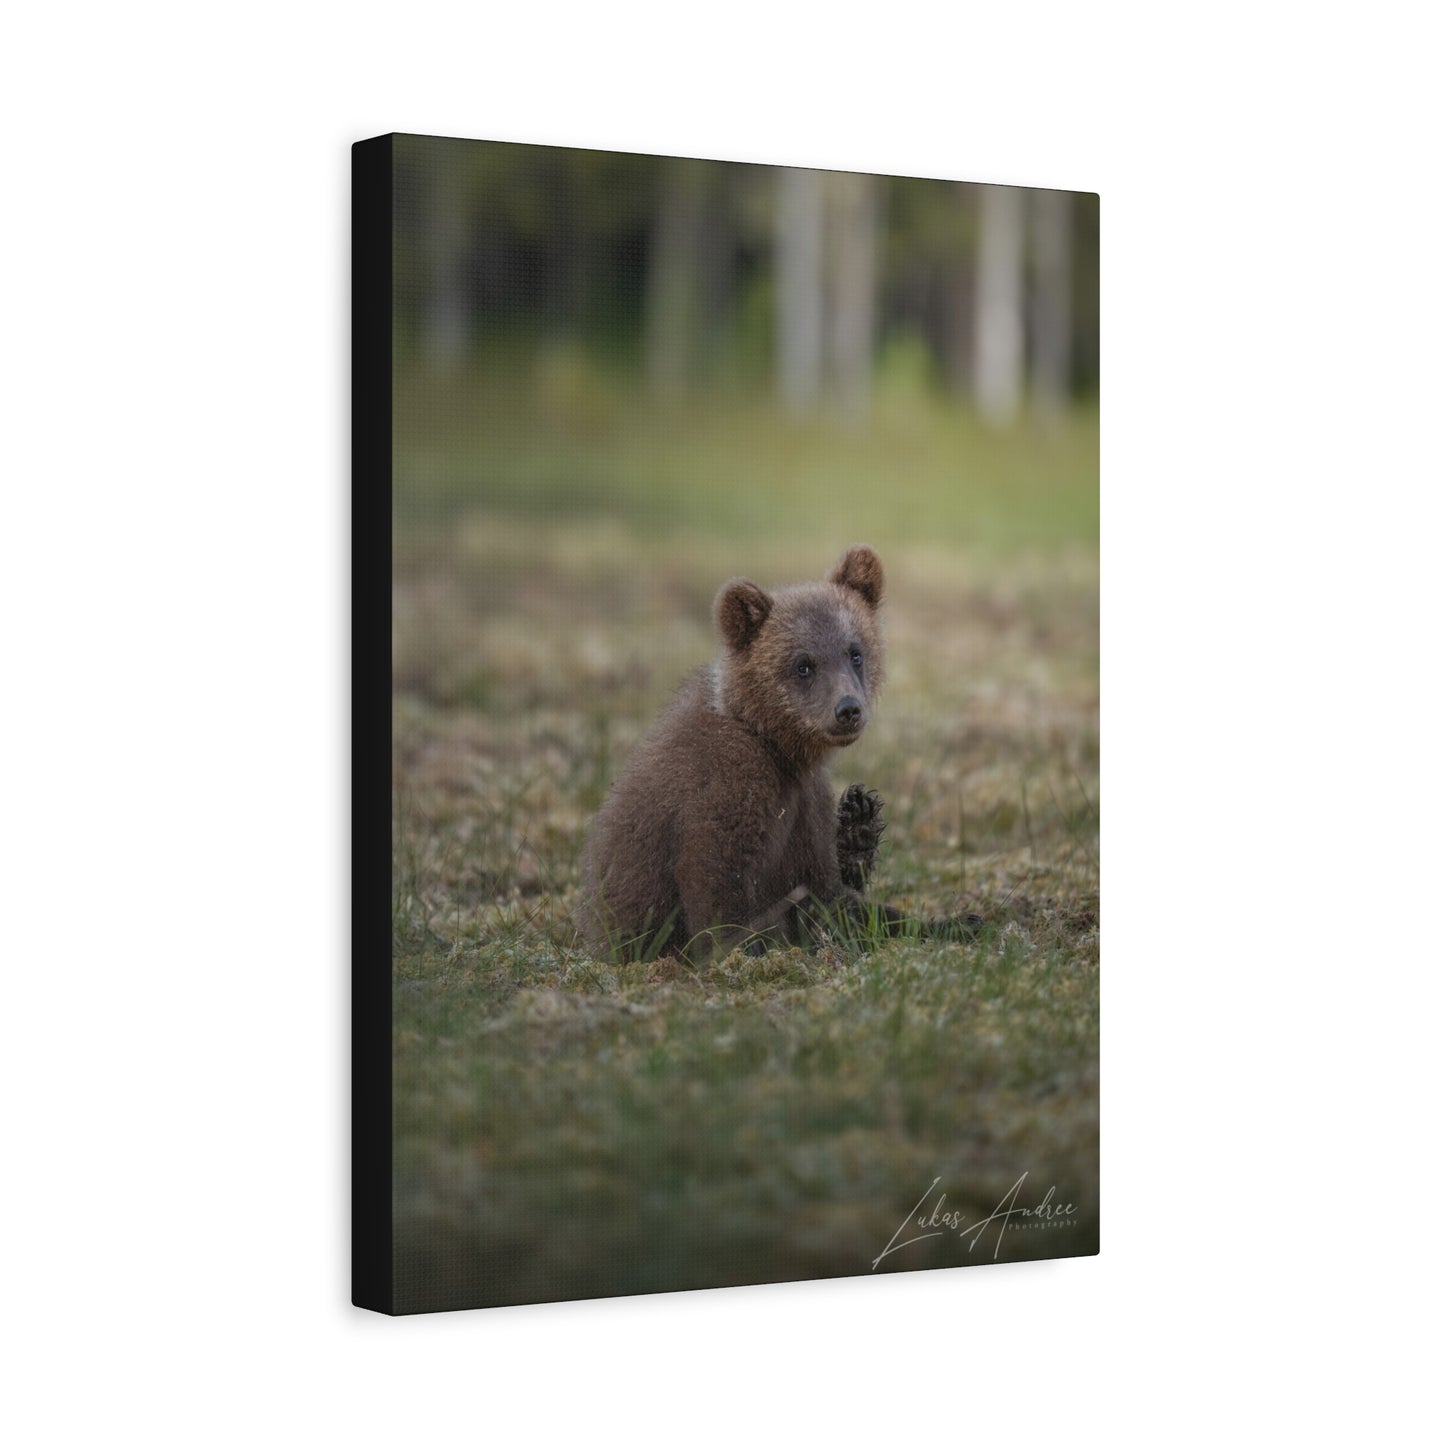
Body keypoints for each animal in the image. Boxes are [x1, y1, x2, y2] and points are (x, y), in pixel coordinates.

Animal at [577, 544, 977, 962]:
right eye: (803, 664)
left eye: (855, 653)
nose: (848, 709)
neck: (779, 746)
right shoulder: (730, 783)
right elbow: (719, 879)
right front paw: (743, 952)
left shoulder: (806, 805)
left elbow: (827, 894)